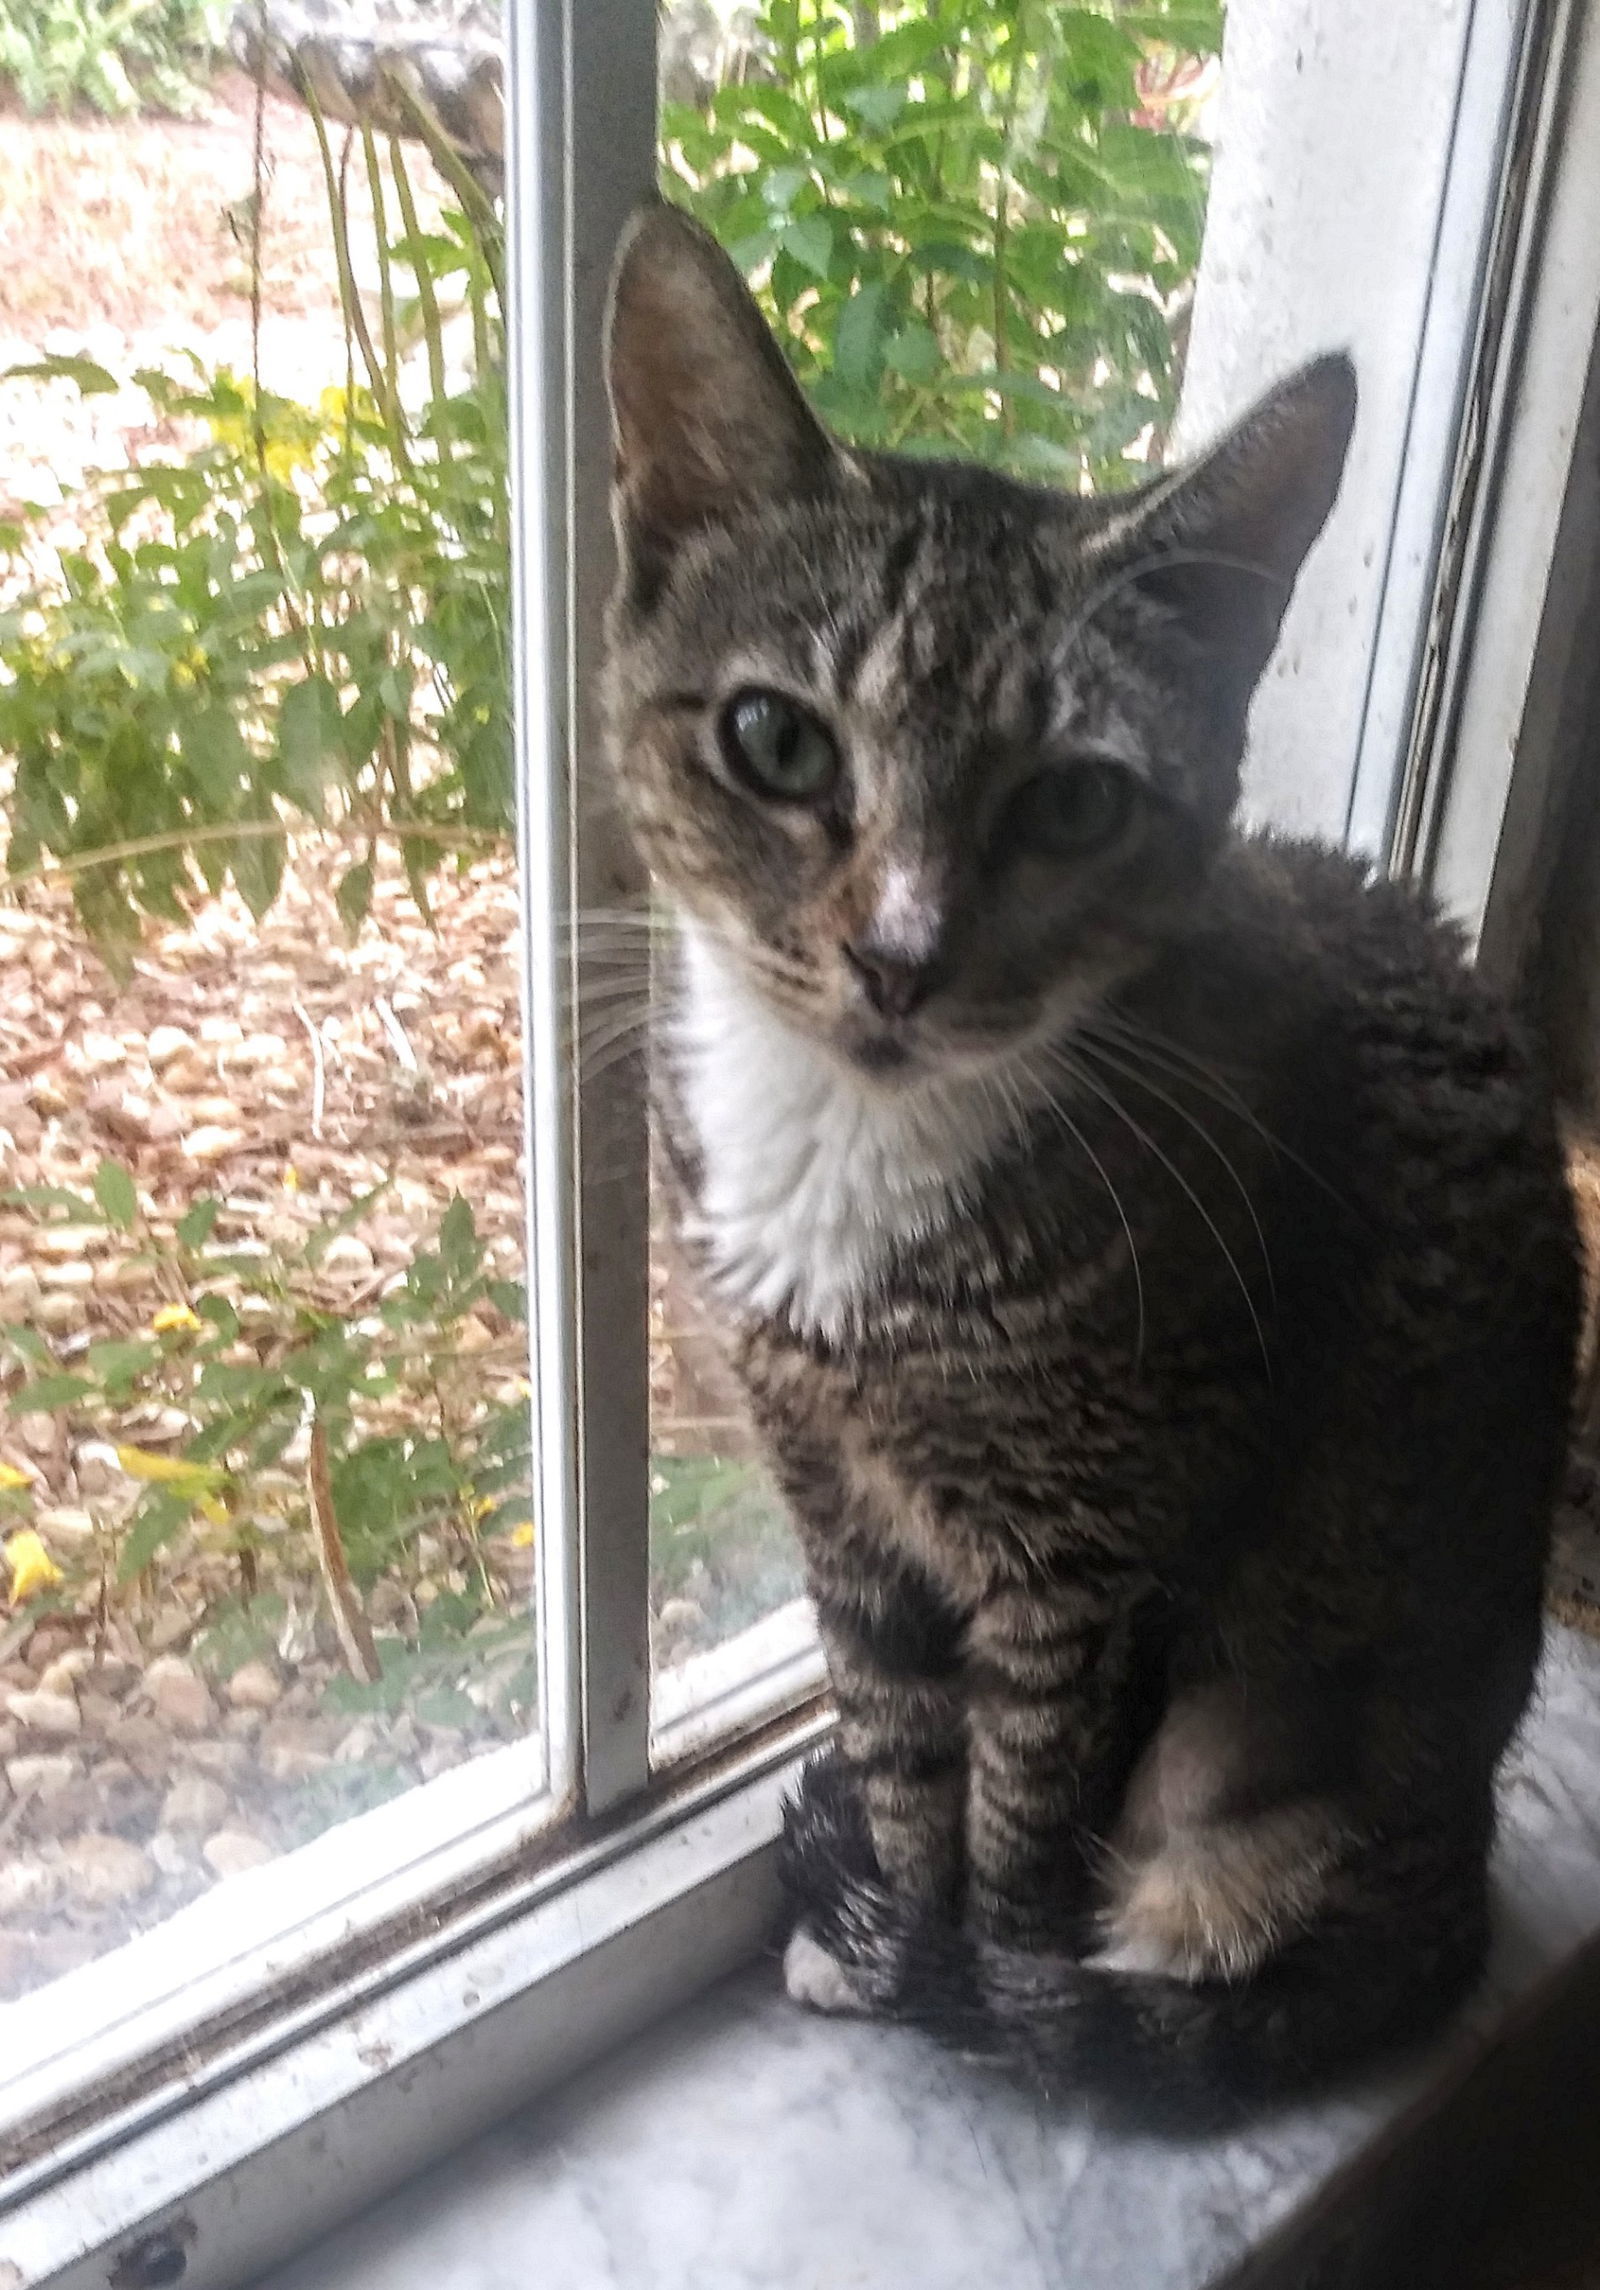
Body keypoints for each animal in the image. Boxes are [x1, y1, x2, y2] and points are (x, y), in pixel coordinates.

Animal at [604, 206, 1593, 2115]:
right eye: (777, 740)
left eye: (1072, 802)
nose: (899, 957)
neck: (857, 1167)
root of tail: (1455, 1877)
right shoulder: (834, 1495)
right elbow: (898, 1739)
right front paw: (891, 1937)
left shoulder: (1105, 1551)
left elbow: (1016, 1817)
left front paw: (976, 1986)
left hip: (1265, 1746)